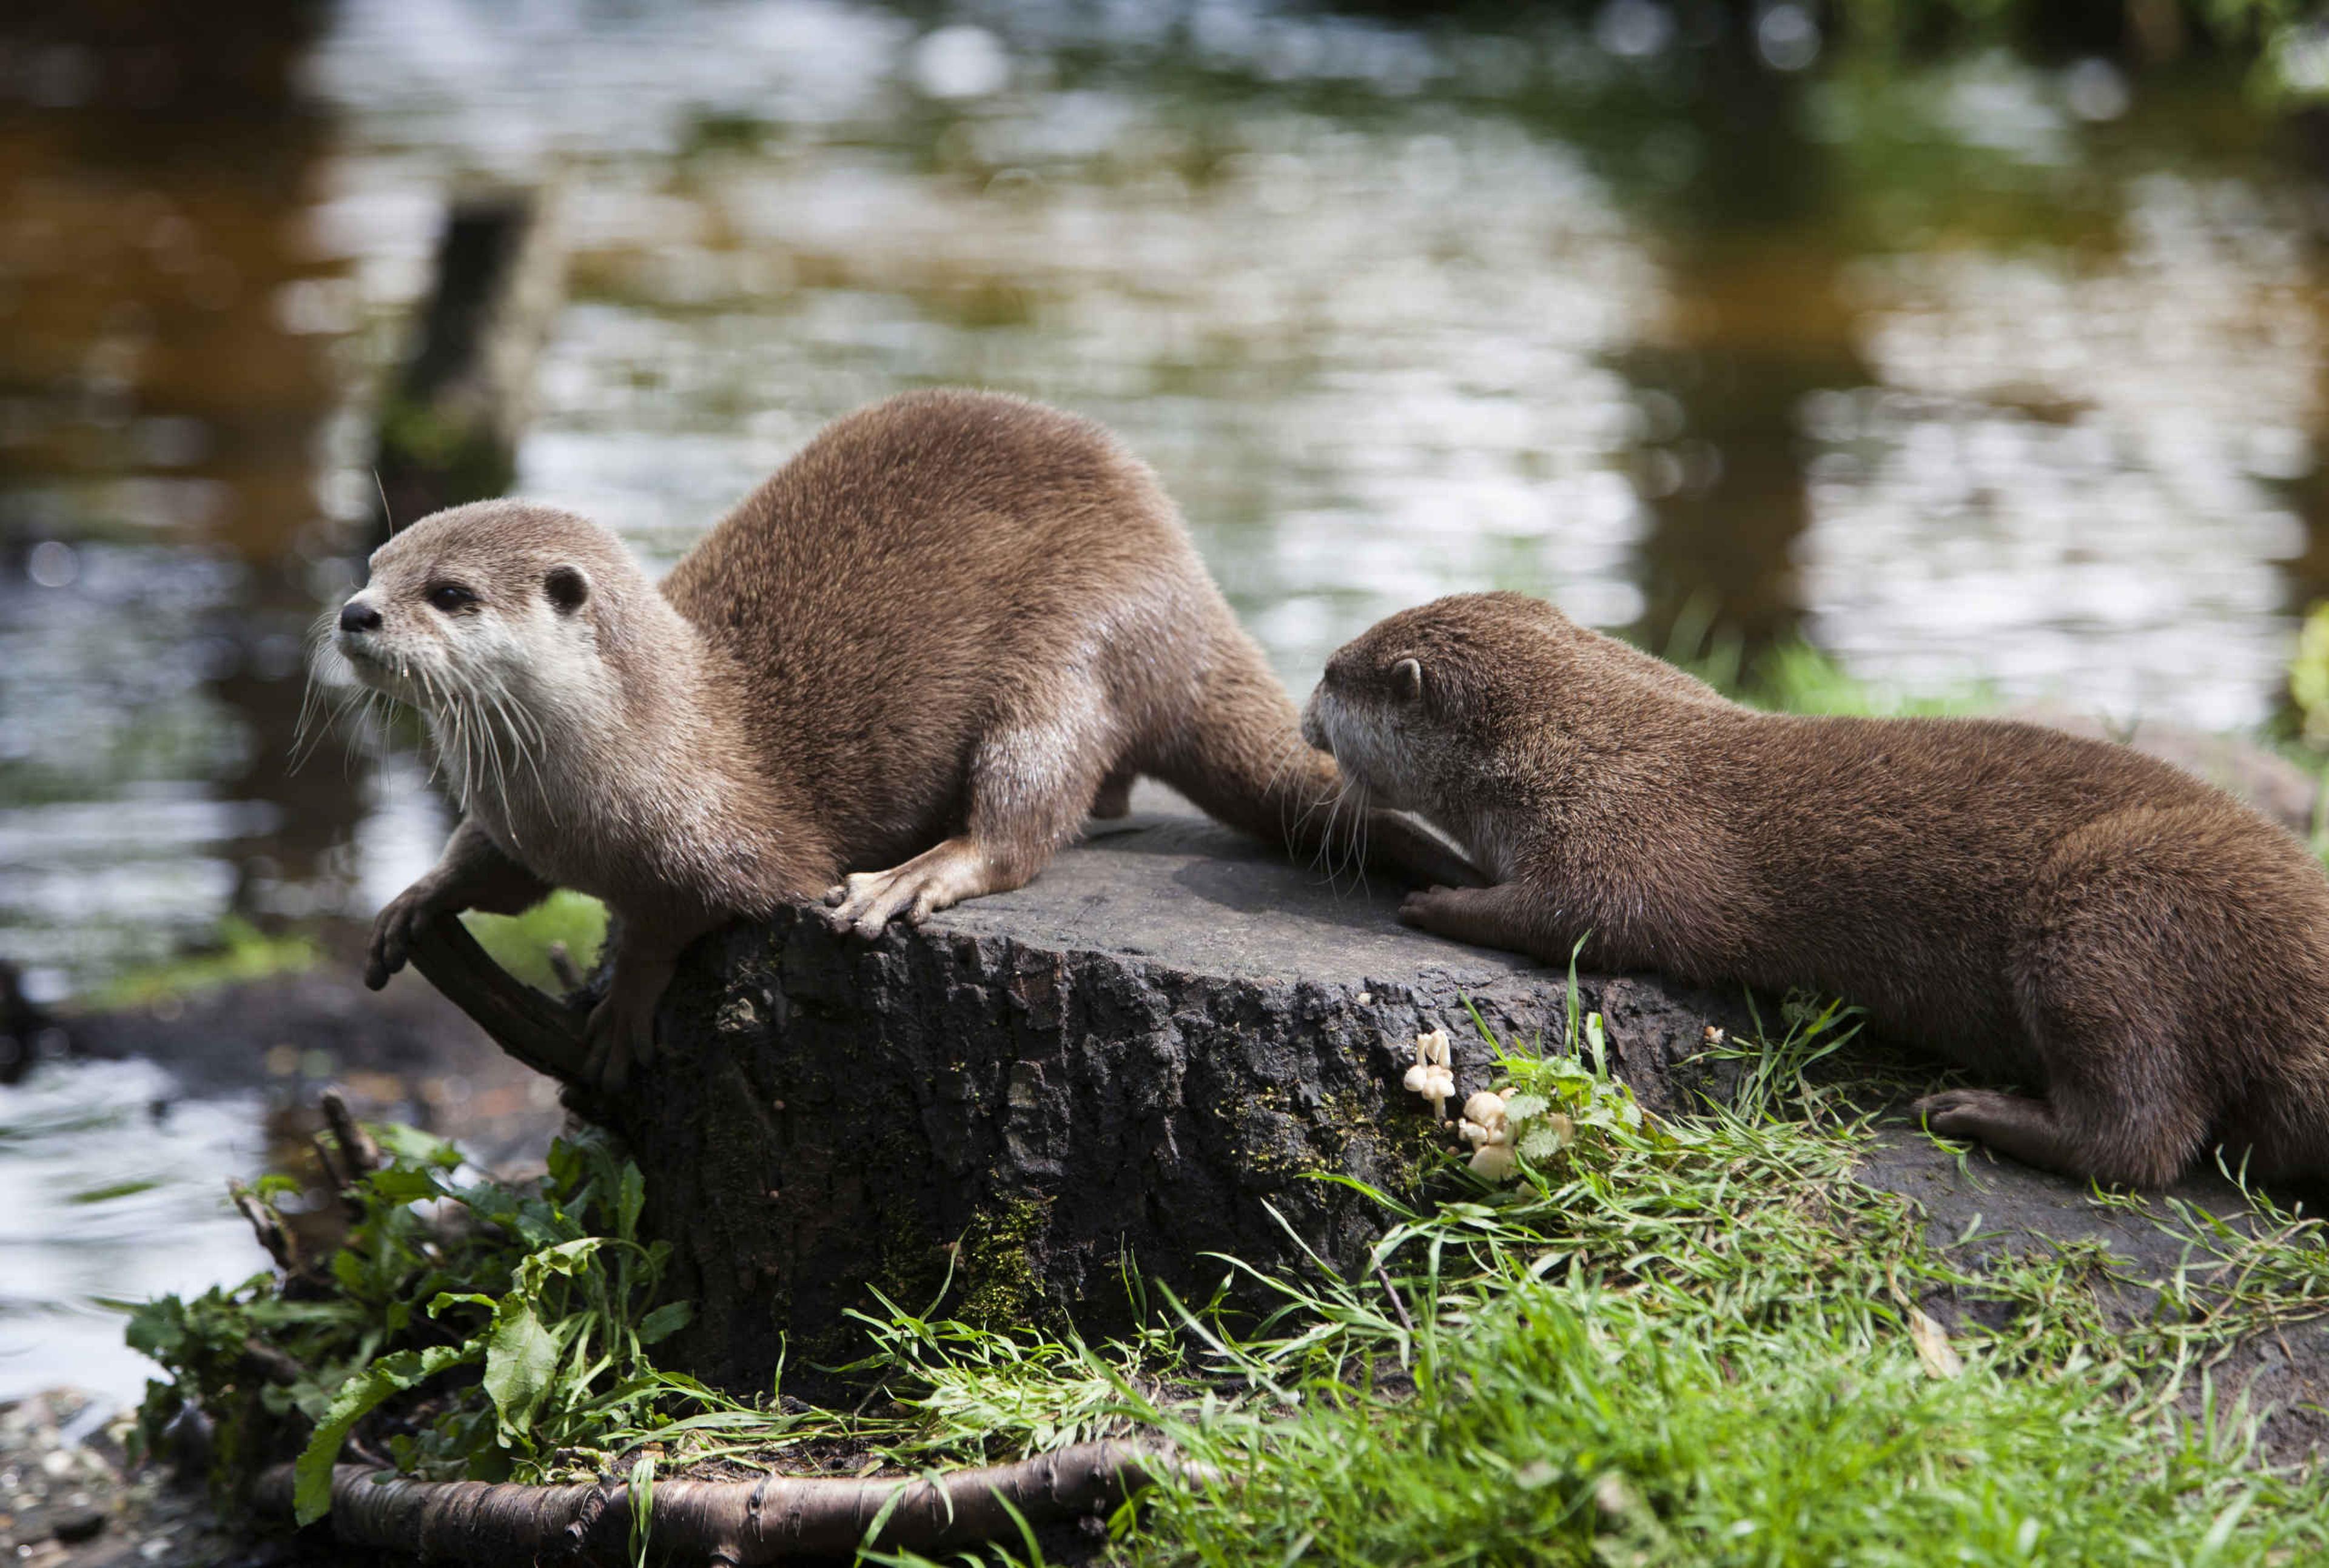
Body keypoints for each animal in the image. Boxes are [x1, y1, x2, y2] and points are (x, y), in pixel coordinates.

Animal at [331, 390, 1471, 1089]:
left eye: (450, 593)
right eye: (377, 562)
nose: (353, 613)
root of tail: (1185, 579)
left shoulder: (736, 842)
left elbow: (684, 911)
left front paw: (624, 1010)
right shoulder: (517, 827)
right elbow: (490, 870)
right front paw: (417, 901)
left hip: (1072, 642)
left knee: (1030, 807)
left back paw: (916, 874)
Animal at [1300, 590, 2329, 1188]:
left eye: (1328, 674)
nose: (1306, 714)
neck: (1586, 744)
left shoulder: (1624, 832)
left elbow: (1583, 917)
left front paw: (1438, 901)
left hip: (2114, 916)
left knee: (2145, 1139)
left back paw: (1974, 1112)